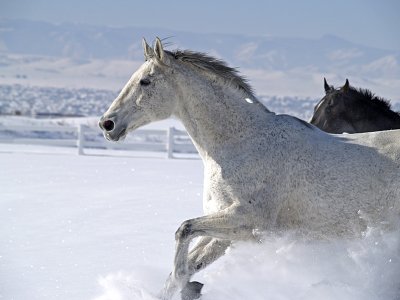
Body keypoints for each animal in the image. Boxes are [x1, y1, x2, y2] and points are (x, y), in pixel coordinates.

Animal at [100, 38, 400, 300]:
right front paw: (188, 286)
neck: (242, 142)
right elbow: (181, 268)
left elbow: (183, 231)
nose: (107, 124)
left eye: (145, 81)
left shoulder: (250, 222)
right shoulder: (226, 230)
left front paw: (192, 286)